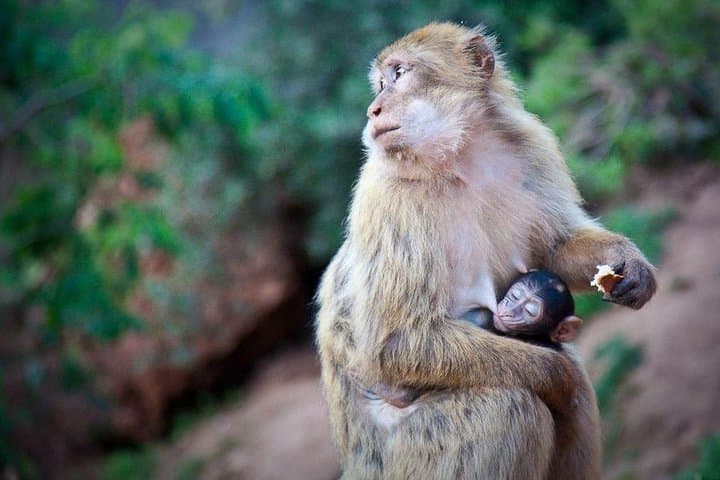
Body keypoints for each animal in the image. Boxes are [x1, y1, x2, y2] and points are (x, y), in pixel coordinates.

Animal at [316, 22, 656, 479]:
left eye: (398, 75)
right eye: (383, 83)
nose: (374, 109)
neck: (461, 157)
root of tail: (356, 464)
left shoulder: (530, 147)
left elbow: (554, 248)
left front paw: (628, 263)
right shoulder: (386, 194)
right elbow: (399, 343)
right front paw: (560, 377)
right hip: (411, 455)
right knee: (510, 408)